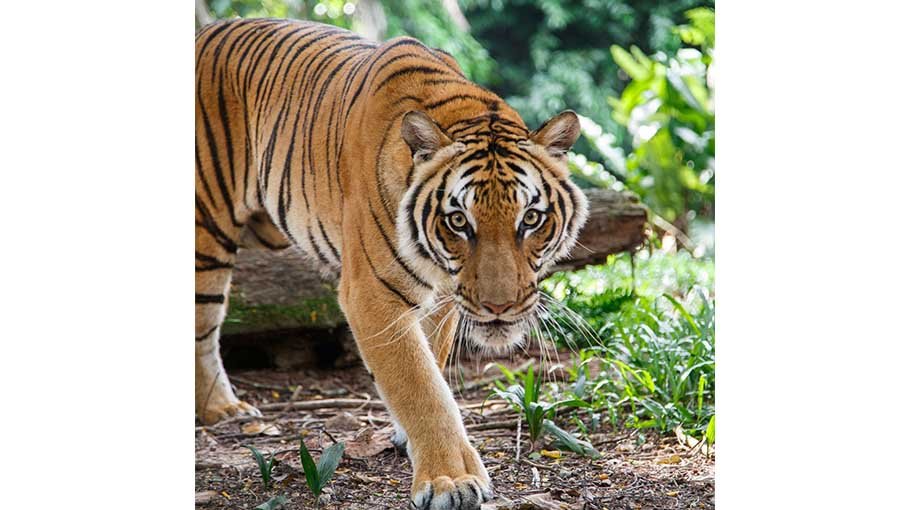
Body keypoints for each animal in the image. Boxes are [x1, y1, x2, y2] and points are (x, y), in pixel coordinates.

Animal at [196, 18, 588, 510]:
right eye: (459, 221)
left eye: (531, 218)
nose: (499, 307)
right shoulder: (372, 294)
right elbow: (420, 386)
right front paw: (450, 480)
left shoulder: (444, 299)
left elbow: (431, 365)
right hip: (205, 231)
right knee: (203, 327)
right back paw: (220, 408)